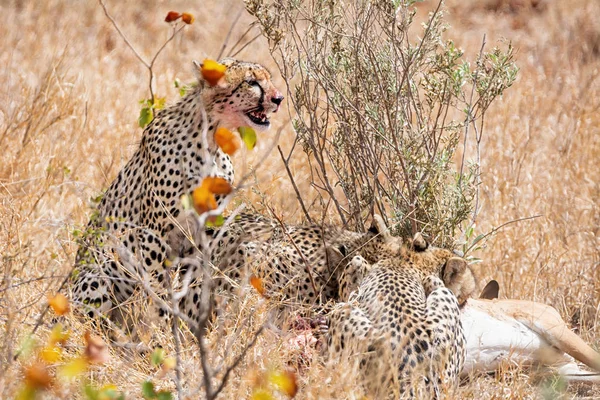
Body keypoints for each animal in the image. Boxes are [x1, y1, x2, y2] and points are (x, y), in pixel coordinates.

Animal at [70, 58, 284, 322]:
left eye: (269, 79)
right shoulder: (154, 234)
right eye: (251, 82)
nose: (279, 98)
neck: (210, 138)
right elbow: (159, 287)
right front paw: (163, 324)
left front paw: (190, 322)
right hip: (98, 274)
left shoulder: (203, 232)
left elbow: (193, 284)